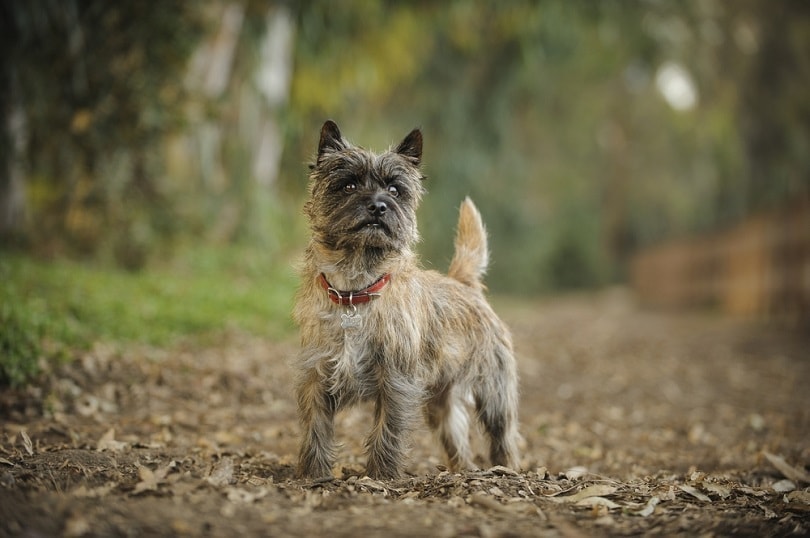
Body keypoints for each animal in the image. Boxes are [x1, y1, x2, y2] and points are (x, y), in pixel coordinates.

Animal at [292, 120, 516, 478]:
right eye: (349, 185)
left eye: (395, 190)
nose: (378, 206)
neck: (355, 289)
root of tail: (463, 282)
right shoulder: (316, 376)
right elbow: (316, 428)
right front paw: (313, 474)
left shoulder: (396, 381)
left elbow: (388, 429)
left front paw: (381, 475)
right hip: (441, 403)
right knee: (457, 441)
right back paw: (463, 470)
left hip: (494, 393)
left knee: (503, 437)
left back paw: (506, 469)